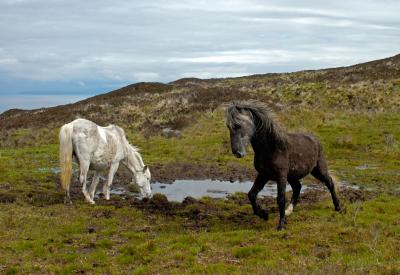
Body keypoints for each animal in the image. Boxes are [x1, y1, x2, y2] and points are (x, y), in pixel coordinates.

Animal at [225, 101, 340, 231]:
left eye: (238, 125)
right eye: (228, 126)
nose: (237, 153)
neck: (272, 148)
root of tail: (315, 139)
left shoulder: (281, 175)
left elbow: (280, 199)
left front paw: (281, 226)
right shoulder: (263, 175)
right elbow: (252, 194)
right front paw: (264, 215)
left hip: (318, 169)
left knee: (330, 183)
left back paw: (338, 207)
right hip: (293, 176)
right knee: (297, 187)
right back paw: (289, 211)